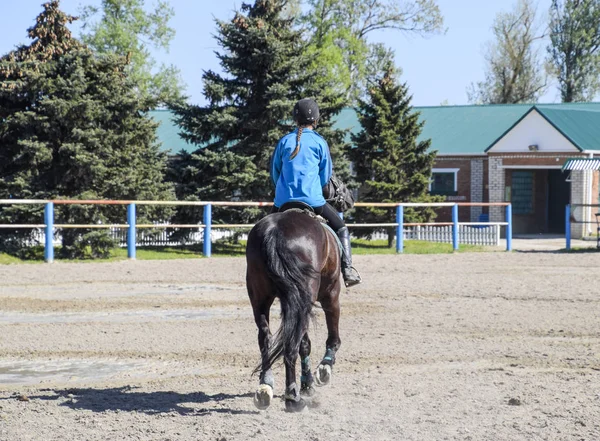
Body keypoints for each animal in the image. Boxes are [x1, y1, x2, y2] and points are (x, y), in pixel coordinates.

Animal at [245, 208, 342, 410]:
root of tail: (274, 231)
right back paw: (293, 397)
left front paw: (307, 384)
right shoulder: (331, 293)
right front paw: (325, 368)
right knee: (291, 346)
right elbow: (332, 335)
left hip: (262, 299)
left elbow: (304, 345)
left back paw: (265, 386)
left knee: (266, 338)